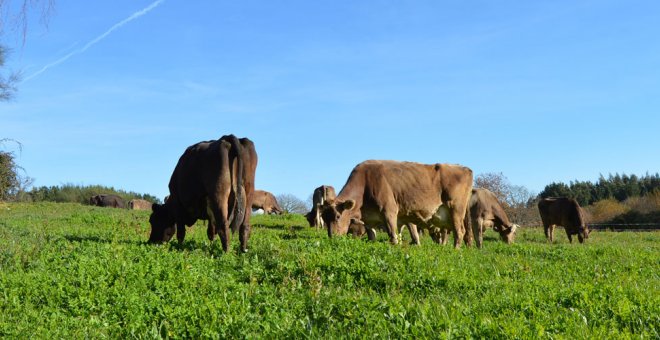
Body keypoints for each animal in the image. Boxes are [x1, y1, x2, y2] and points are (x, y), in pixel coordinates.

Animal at [320, 159, 472, 247]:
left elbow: (393, 237)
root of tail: (465, 168)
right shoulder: (369, 220)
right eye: (324, 218)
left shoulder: (389, 211)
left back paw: (455, 251)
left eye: (337, 217)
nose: (331, 238)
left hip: (456, 209)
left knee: (459, 232)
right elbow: (372, 238)